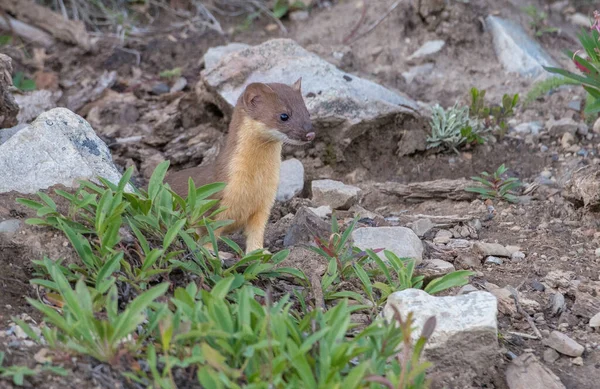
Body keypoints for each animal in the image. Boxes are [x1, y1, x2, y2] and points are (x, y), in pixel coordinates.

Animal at [164, 78, 314, 253]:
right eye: (284, 115)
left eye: (308, 112)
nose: (310, 134)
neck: (254, 183)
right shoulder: (215, 200)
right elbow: (210, 231)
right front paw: (214, 252)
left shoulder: (264, 204)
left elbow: (257, 231)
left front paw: (259, 252)